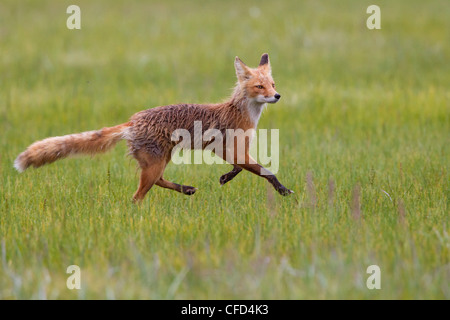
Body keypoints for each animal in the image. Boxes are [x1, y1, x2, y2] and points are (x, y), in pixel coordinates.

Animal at [14, 53, 294, 201]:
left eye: (273, 84)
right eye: (260, 86)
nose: (277, 96)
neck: (242, 112)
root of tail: (132, 120)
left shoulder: (228, 150)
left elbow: (240, 168)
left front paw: (225, 177)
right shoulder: (234, 149)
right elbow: (266, 172)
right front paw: (283, 190)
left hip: (159, 161)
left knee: (158, 182)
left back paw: (186, 189)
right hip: (155, 164)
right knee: (137, 197)